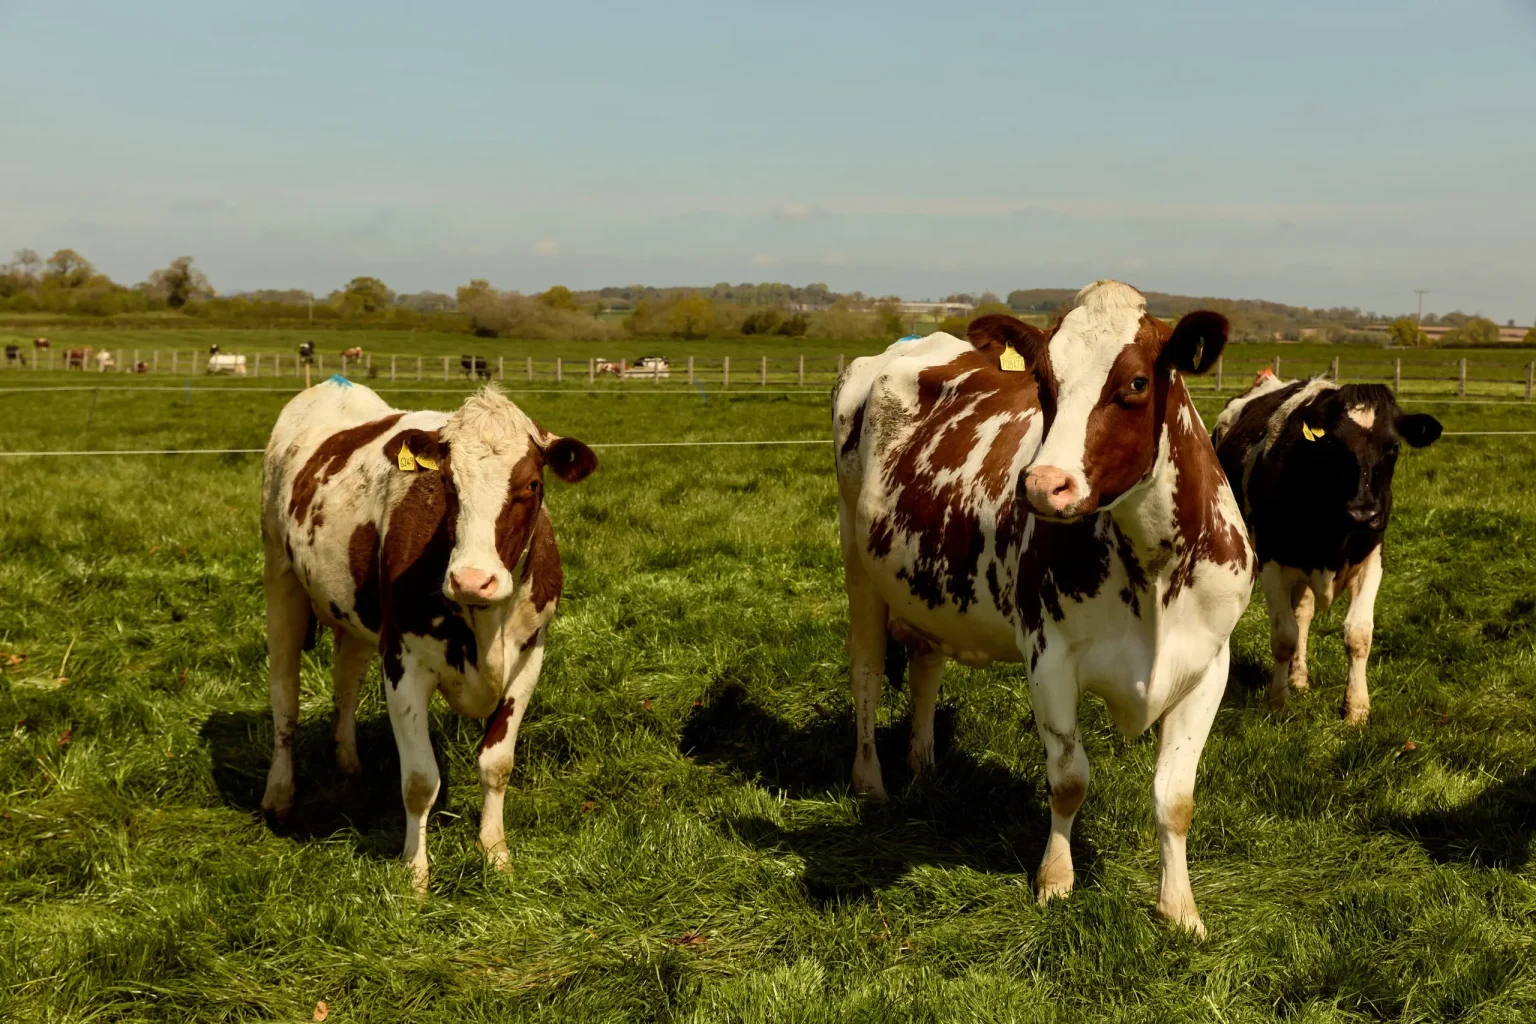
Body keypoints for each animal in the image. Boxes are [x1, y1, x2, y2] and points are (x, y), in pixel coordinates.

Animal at [260, 379, 598, 890]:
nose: (472, 579)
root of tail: (332, 384)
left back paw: (347, 761)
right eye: (445, 483)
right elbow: (420, 780)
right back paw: (279, 793)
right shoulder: (404, 661)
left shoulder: (530, 656)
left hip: (353, 612)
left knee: (346, 681)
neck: (486, 622)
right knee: (285, 697)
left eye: (532, 485)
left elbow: (497, 765)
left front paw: (495, 853)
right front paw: (415, 872)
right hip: (281, 579)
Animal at [832, 280, 1253, 936]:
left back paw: (923, 766)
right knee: (868, 674)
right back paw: (871, 782)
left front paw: (1180, 908)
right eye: (1045, 383)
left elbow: (1175, 797)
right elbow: (1069, 779)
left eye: (1137, 382)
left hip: (925, 584)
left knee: (925, 666)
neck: (1154, 568)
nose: (1040, 485)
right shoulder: (1049, 655)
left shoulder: (1210, 664)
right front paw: (1055, 880)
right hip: (858, 564)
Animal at [1211, 370, 1442, 725]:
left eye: (1393, 447)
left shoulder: (1371, 560)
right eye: (1334, 444)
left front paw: (1356, 708)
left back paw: (1299, 677)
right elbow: (1284, 635)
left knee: (1304, 613)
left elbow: (1358, 634)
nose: (1363, 512)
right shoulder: (1271, 562)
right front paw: (1278, 701)